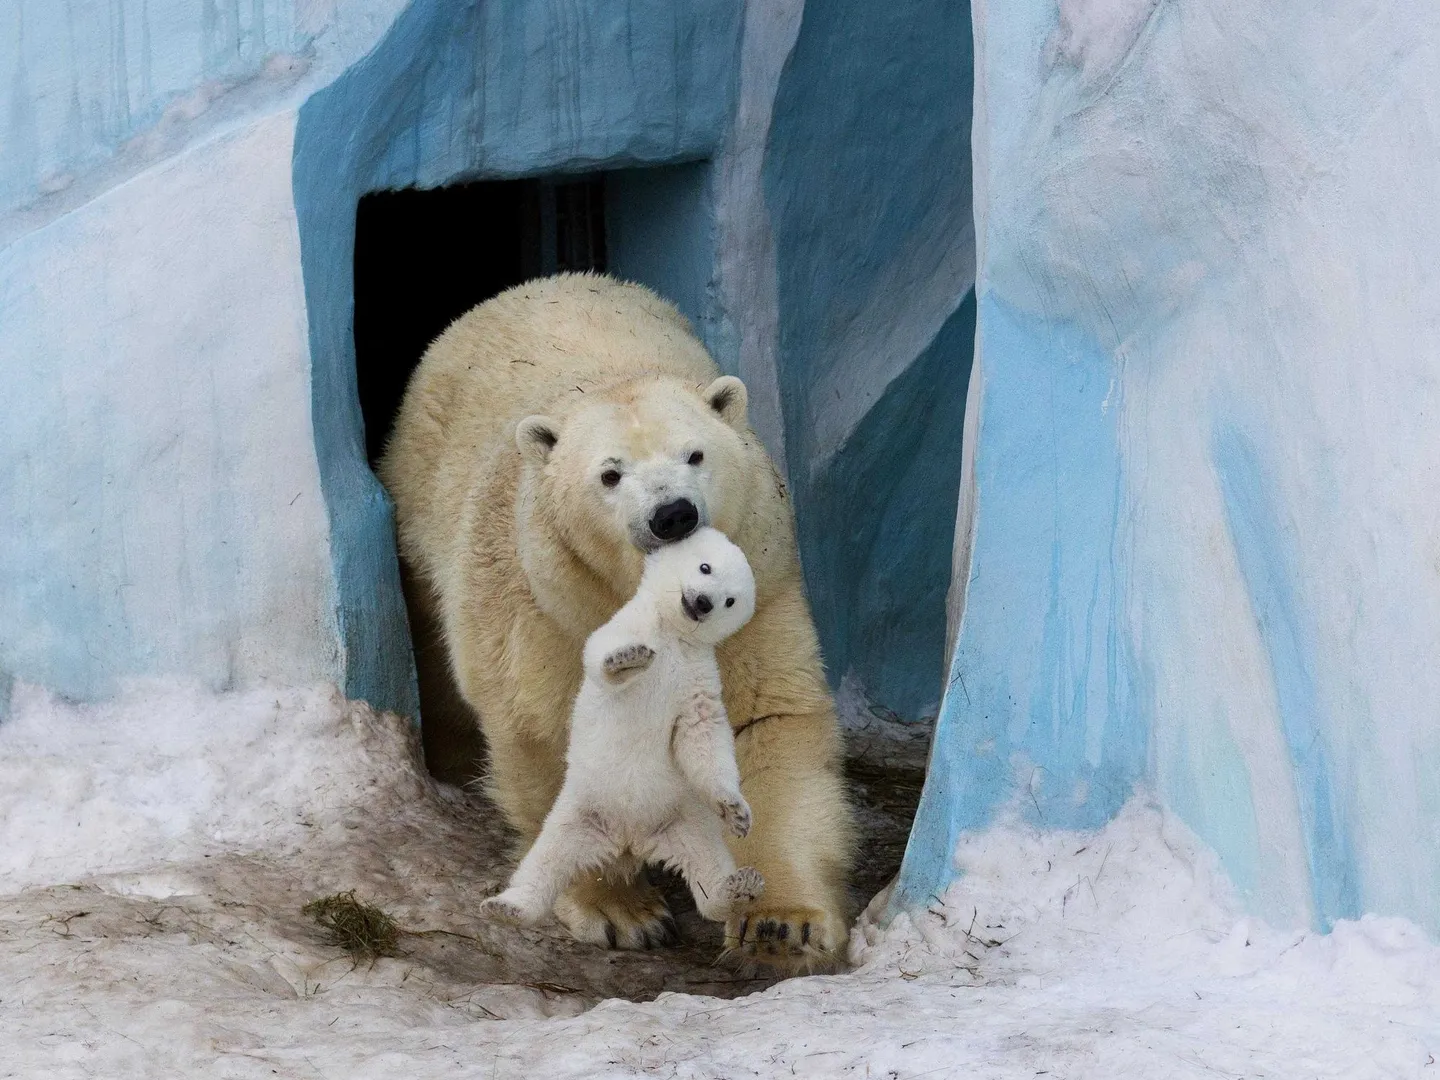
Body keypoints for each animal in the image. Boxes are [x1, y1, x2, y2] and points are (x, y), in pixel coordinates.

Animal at [380, 272, 852, 973]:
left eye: (695, 454)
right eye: (609, 474)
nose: (673, 514)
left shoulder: (759, 591)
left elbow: (762, 721)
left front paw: (781, 924)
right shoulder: (548, 607)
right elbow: (549, 733)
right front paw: (620, 910)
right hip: (420, 509)